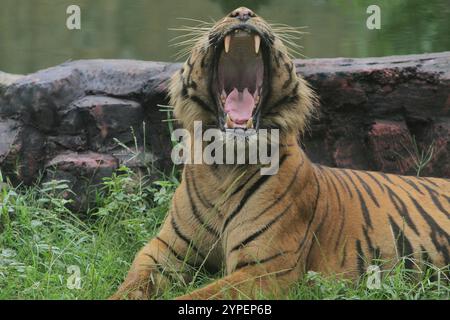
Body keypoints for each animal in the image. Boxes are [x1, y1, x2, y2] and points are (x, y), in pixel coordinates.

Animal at [110, 6, 450, 298]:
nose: (243, 11)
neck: (225, 164)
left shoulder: (264, 268)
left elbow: (201, 295)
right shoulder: (164, 251)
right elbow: (130, 284)